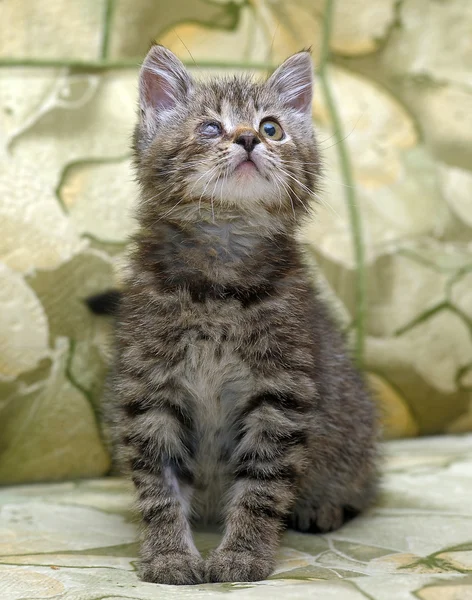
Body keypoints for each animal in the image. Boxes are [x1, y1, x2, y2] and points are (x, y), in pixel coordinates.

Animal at [101, 43, 378, 584]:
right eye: (211, 128)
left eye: (271, 127)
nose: (249, 138)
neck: (218, 286)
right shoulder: (150, 389)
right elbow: (158, 484)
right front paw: (169, 554)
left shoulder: (282, 392)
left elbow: (263, 484)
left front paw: (242, 554)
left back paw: (323, 506)